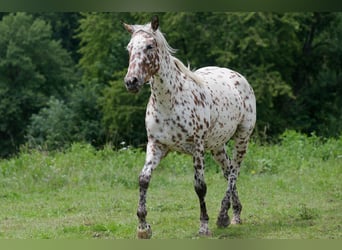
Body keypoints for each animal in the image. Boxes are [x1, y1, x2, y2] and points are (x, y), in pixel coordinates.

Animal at [123, 15, 256, 238]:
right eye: (129, 48)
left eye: (150, 46)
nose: (131, 81)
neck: (170, 102)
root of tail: (237, 76)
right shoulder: (156, 146)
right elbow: (143, 179)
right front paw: (143, 227)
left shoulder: (197, 148)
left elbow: (200, 187)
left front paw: (204, 226)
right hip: (217, 146)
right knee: (228, 170)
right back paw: (234, 215)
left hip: (242, 138)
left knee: (234, 172)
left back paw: (222, 216)